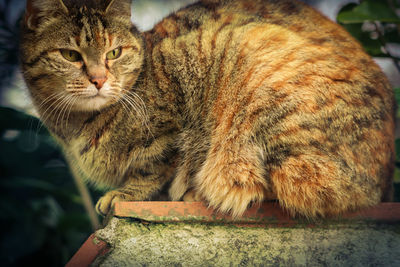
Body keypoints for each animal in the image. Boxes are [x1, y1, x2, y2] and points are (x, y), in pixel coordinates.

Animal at [19, 0, 396, 219]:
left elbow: (153, 166)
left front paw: (125, 194)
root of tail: (383, 183)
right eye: (70, 55)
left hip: (254, 62)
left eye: (114, 53)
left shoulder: (172, 115)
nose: (98, 79)